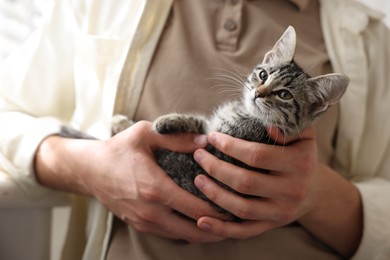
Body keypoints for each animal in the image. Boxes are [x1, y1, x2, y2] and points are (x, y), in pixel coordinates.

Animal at [112, 25, 348, 219]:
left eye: (284, 95)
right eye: (263, 75)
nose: (258, 93)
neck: (247, 115)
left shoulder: (207, 159)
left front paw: (133, 125)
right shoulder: (212, 129)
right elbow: (199, 122)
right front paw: (160, 121)